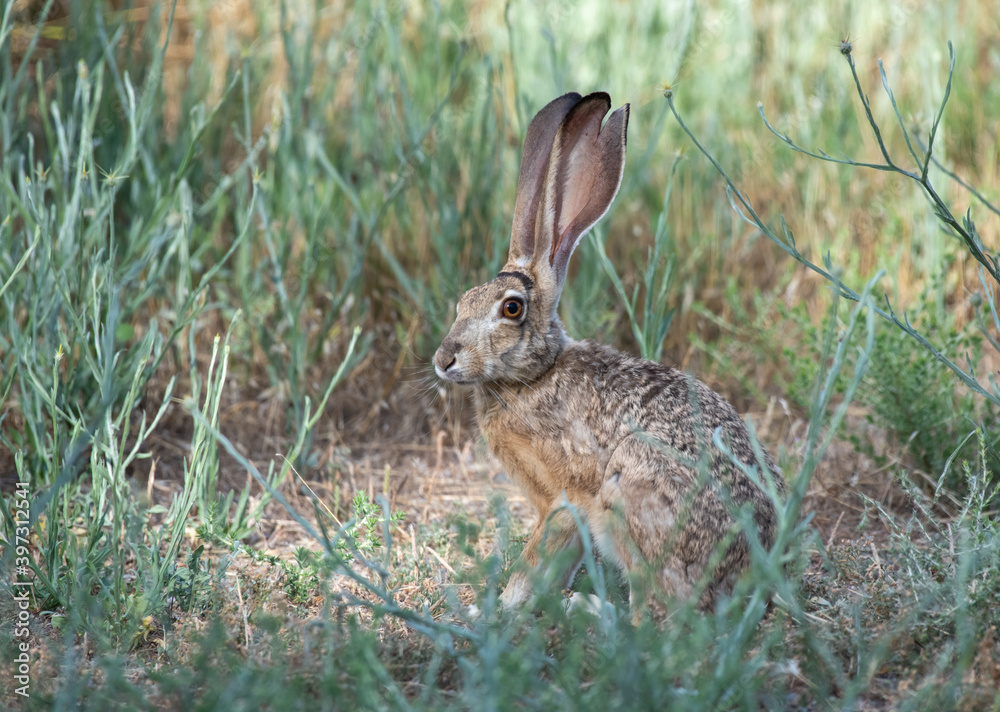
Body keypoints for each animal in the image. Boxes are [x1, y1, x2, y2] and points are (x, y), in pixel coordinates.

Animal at [433, 91, 785, 613]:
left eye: (511, 308)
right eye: (462, 302)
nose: (444, 360)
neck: (534, 376)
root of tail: (744, 573)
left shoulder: (563, 496)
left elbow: (537, 561)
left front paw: (493, 609)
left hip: (628, 498)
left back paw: (591, 609)